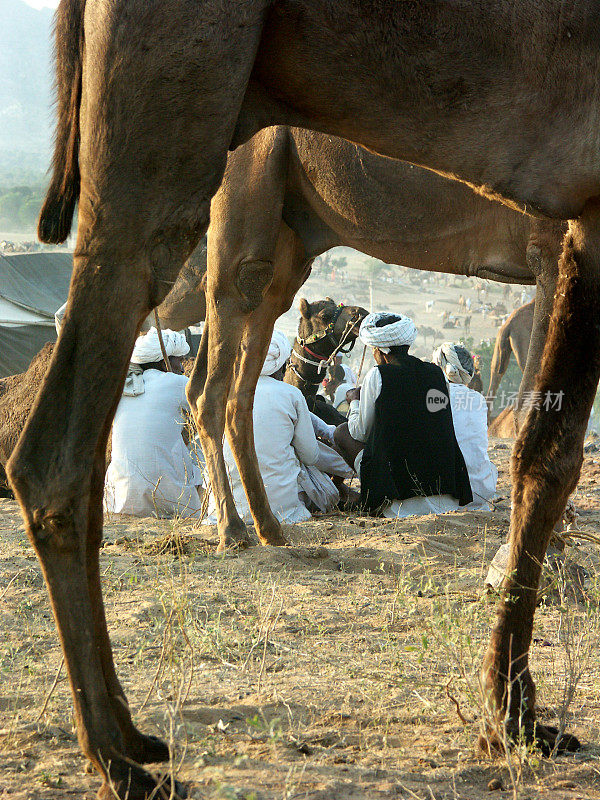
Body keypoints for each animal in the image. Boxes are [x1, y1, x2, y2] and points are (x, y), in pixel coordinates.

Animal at [5, 3, 600, 796]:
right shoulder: (559, 225)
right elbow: (547, 435)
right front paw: (514, 703)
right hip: (219, 188)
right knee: (185, 376)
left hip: (283, 225)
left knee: (224, 381)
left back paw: (260, 539)